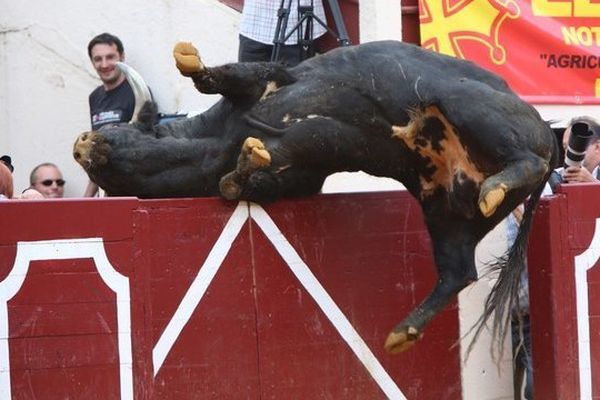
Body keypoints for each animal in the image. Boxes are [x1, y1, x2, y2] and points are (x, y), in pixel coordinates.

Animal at [74, 39, 556, 354]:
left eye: (125, 132)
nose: (82, 144)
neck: (212, 142)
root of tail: (546, 128)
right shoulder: (290, 179)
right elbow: (236, 182)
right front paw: (250, 156)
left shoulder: (266, 81)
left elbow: (224, 79)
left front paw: (189, 59)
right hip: (444, 210)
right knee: (458, 273)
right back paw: (402, 333)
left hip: (465, 105)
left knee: (524, 159)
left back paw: (498, 184)